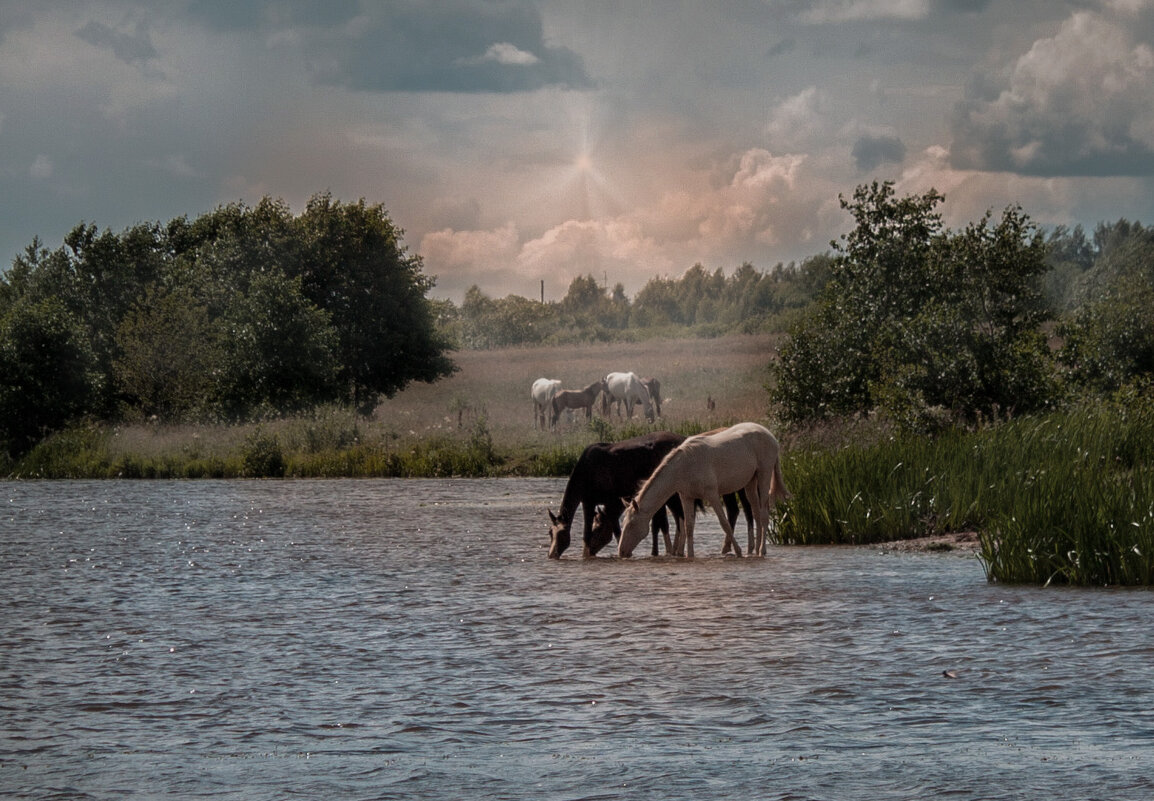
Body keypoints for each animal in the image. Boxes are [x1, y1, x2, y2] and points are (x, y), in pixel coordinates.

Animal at [618, 424, 789, 560]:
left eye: (631, 524)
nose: (621, 552)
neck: (683, 466)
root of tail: (770, 435)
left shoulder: (712, 495)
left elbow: (724, 523)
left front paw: (738, 552)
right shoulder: (686, 497)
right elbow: (688, 526)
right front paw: (690, 555)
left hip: (764, 473)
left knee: (764, 513)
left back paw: (762, 551)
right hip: (750, 482)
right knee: (756, 513)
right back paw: (754, 552)